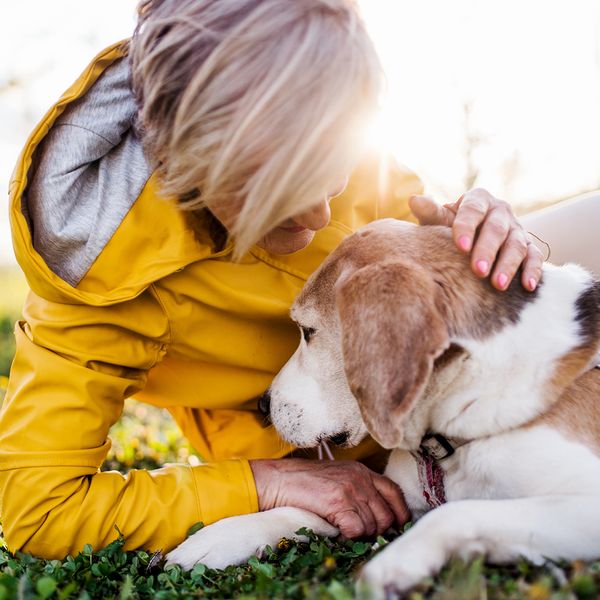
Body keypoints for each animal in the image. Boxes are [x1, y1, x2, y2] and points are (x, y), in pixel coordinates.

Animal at [166, 219, 600, 596]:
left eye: (307, 331)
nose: (262, 404)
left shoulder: (584, 504)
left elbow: (457, 511)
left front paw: (396, 563)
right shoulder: (392, 498)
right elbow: (301, 511)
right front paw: (216, 538)